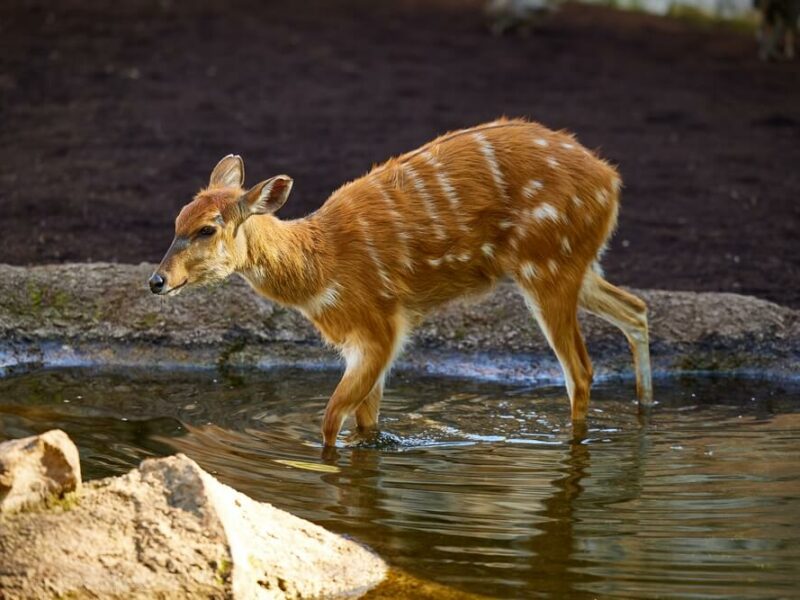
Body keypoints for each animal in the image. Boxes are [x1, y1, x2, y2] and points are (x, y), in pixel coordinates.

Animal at [149, 119, 653, 446]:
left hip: (547, 265)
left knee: (581, 370)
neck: (321, 268)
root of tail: (611, 181)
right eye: (176, 219)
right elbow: (366, 424)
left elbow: (330, 422)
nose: (157, 280)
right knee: (636, 309)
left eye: (207, 229)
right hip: (577, 264)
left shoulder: (379, 330)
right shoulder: (364, 342)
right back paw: (645, 411)